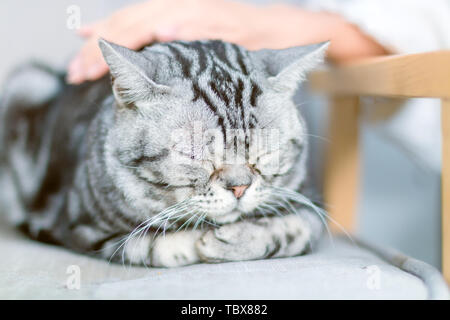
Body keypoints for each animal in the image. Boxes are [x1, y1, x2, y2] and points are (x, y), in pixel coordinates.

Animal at [0, 38, 326, 266]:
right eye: (194, 155)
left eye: (265, 152)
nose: (239, 187)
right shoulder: (84, 229)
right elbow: (158, 245)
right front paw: (201, 239)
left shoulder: (311, 203)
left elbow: (294, 229)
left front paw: (239, 239)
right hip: (27, 82)